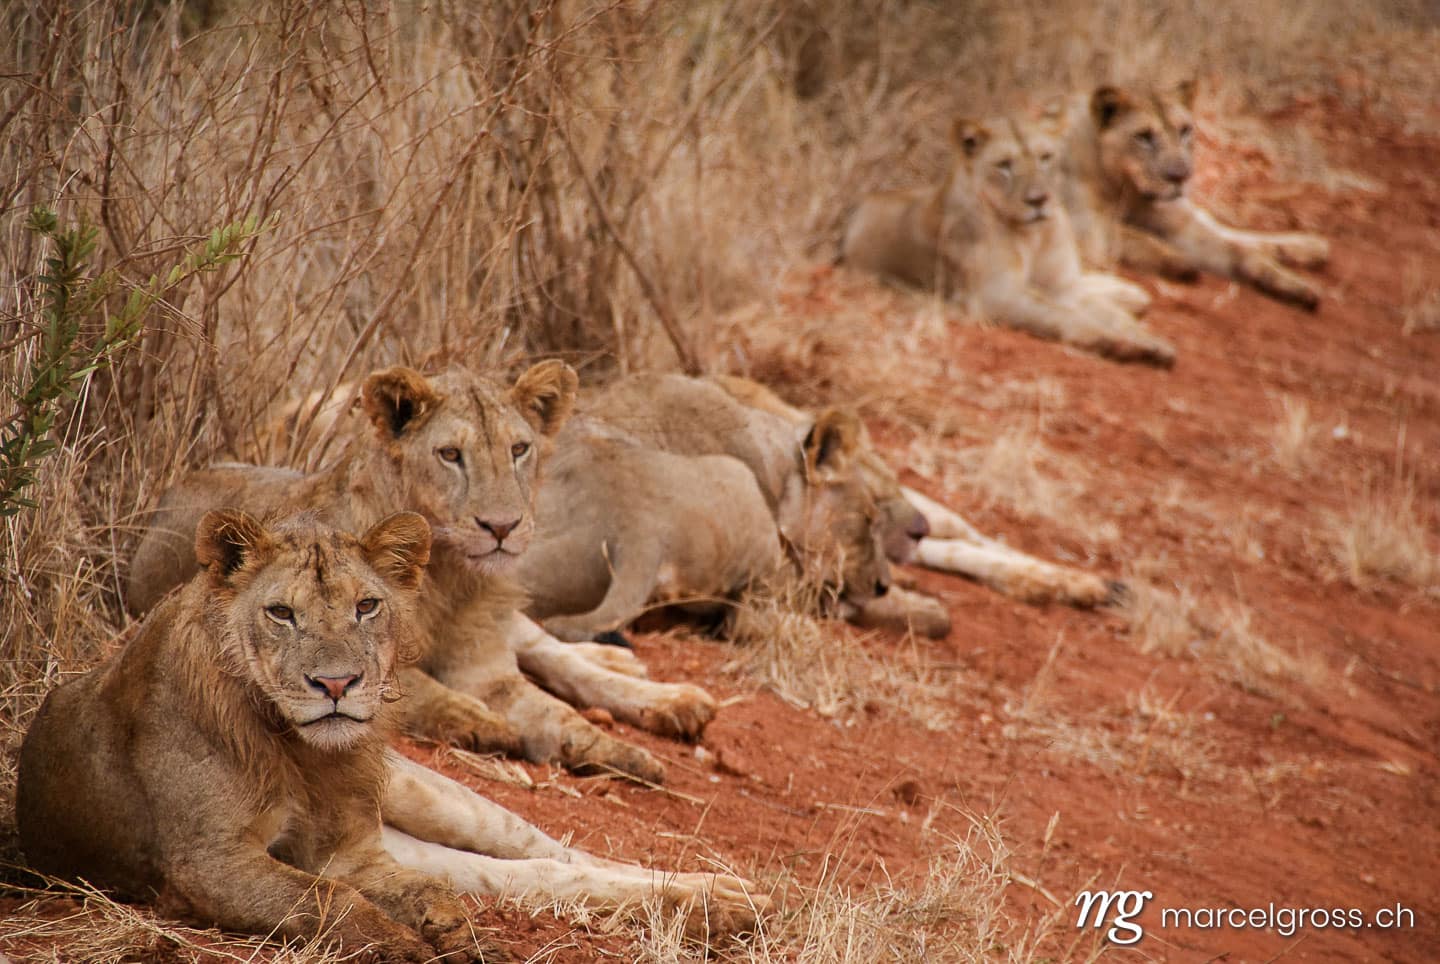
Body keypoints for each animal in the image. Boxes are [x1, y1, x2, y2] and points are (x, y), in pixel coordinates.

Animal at [17, 510, 488, 962]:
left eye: (366, 606)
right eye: (281, 613)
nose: (336, 684)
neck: (303, 753)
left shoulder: (350, 855)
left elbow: (428, 886)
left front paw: (467, 937)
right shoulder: (211, 862)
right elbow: (327, 897)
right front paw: (399, 944)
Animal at [127, 362, 718, 786]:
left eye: (519, 449)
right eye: (450, 454)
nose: (502, 526)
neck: (451, 574)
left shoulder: (487, 665)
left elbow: (558, 713)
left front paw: (625, 753)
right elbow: (421, 690)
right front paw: (485, 724)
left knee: (552, 650)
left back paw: (668, 697)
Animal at [842, 107, 1174, 367]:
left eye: (1045, 158)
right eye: (1004, 166)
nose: (1038, 200)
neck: (1035, 234)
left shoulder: (1061, 285)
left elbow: (1106, 314)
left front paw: (1148, 340)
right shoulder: (995, 295)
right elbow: (1062, 314)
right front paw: (1116, 342)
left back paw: (1130, 293)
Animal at [1060, 81, 1329, 310]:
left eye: (1184, 131)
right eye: (1144, 137)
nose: (1181, 176)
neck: (1129, 189)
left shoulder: (1178, 225)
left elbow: (1238, 252)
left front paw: (1294, 285)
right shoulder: (1088, 230)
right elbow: (1134, 237)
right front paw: (1177, 262)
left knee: (1231, 233)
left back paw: (1310, 247)